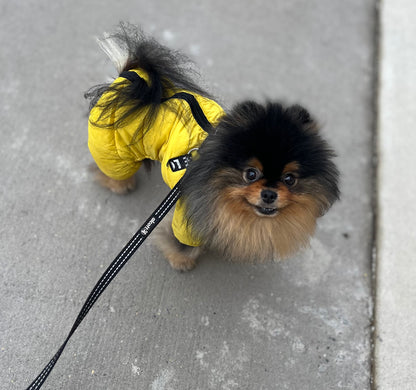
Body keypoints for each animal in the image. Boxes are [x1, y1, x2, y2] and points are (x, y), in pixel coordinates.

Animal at [86, 22, 340, 270]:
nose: (269, 193)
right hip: (115, 154)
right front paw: (182, 262)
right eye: (250, 174)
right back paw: (120, 185)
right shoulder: (188, 219)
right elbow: (182, 243)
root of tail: (131, 79)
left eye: (290, 179)